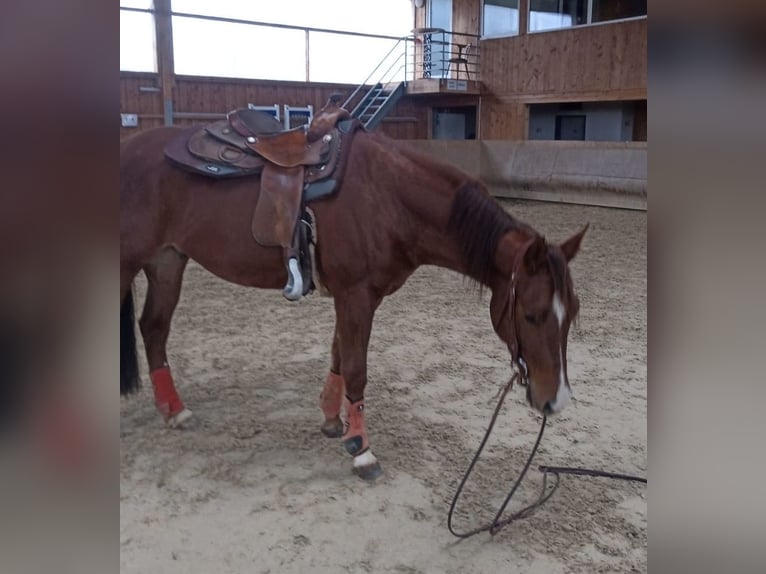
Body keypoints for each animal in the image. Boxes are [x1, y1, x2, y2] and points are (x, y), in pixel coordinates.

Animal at [120, 107, 588, 482]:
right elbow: (357, 368)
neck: (388, 196)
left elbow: (339, 356)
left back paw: (174, 410)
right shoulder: (356, 295)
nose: (556, 400)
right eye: (531, 315)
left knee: (154, 328)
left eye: (571, 315)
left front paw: (332, 421)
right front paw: (361, 449)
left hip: (167, 262)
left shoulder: (356, 297)